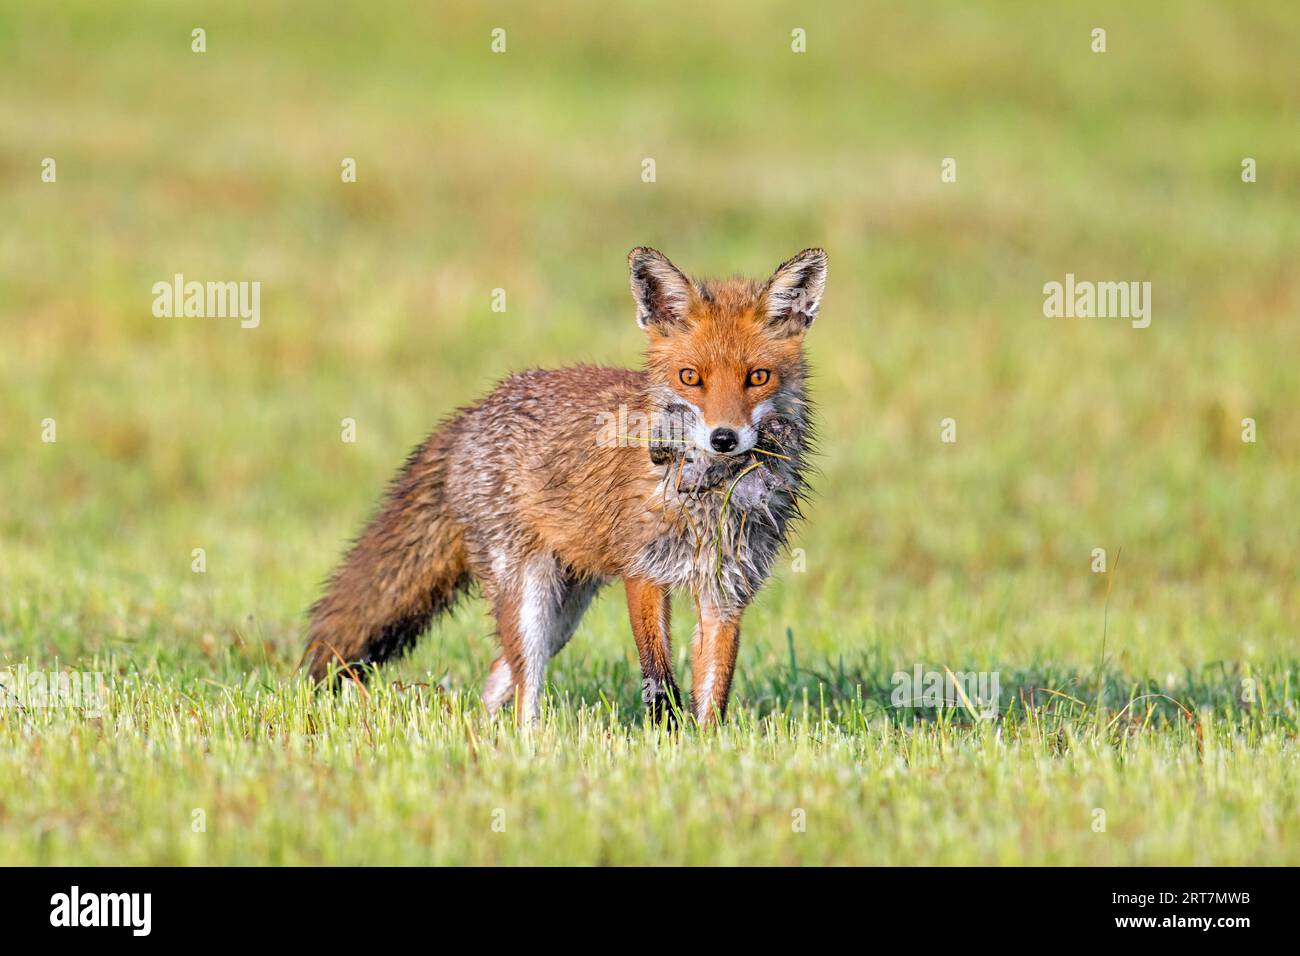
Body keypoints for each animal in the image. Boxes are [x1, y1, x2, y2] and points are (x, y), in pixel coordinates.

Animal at [304, 247, 821, 723]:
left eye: (758, 377)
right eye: (690, 377)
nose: (724, 439)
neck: (708, 505)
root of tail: (472, 411)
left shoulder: (727, 592)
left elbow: (714, 691)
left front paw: (706, 749)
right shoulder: (643, 572)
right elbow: (658, 675)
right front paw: (665, 733)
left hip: (563, 616)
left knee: (497, 678)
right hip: (528, 600)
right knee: (523, 687)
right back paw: (526, 745)